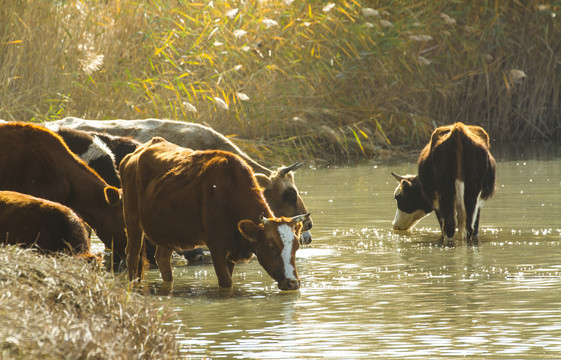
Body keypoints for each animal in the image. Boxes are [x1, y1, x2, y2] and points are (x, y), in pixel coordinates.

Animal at [120, 136, 310, 292]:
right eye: (271, 246)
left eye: (296, 247)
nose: (293, 283)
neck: (230, 192)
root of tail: (137, 152)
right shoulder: (216, 246)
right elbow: (226, 283)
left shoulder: (232, 250)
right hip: (132, 218)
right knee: (132, 255)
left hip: (165, 230)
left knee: (162, 258)